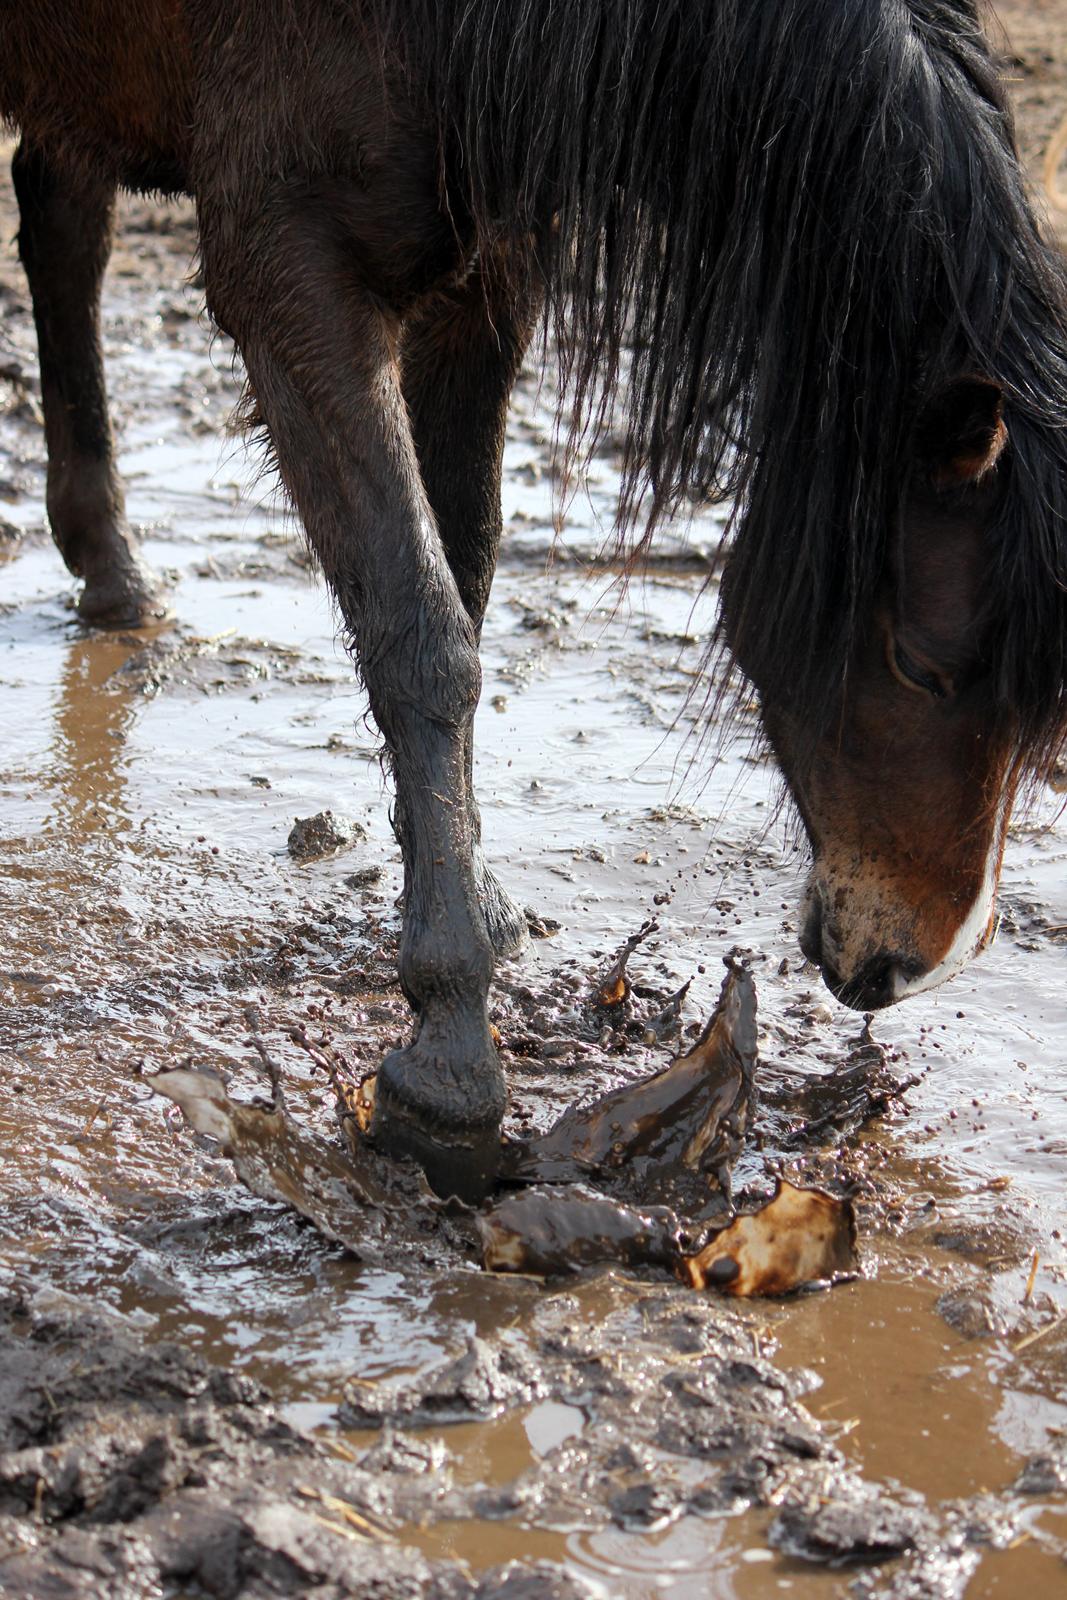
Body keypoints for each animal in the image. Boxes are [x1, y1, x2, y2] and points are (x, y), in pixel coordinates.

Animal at [6, 3, 1067, 1203]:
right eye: (923, 664)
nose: (909, 963)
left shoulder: (486, 281)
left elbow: (459, 579)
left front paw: (465, 902)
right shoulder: (286, 267)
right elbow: (420, 633)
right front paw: (450, 1061)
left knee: (60, 209)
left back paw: (110, 568)